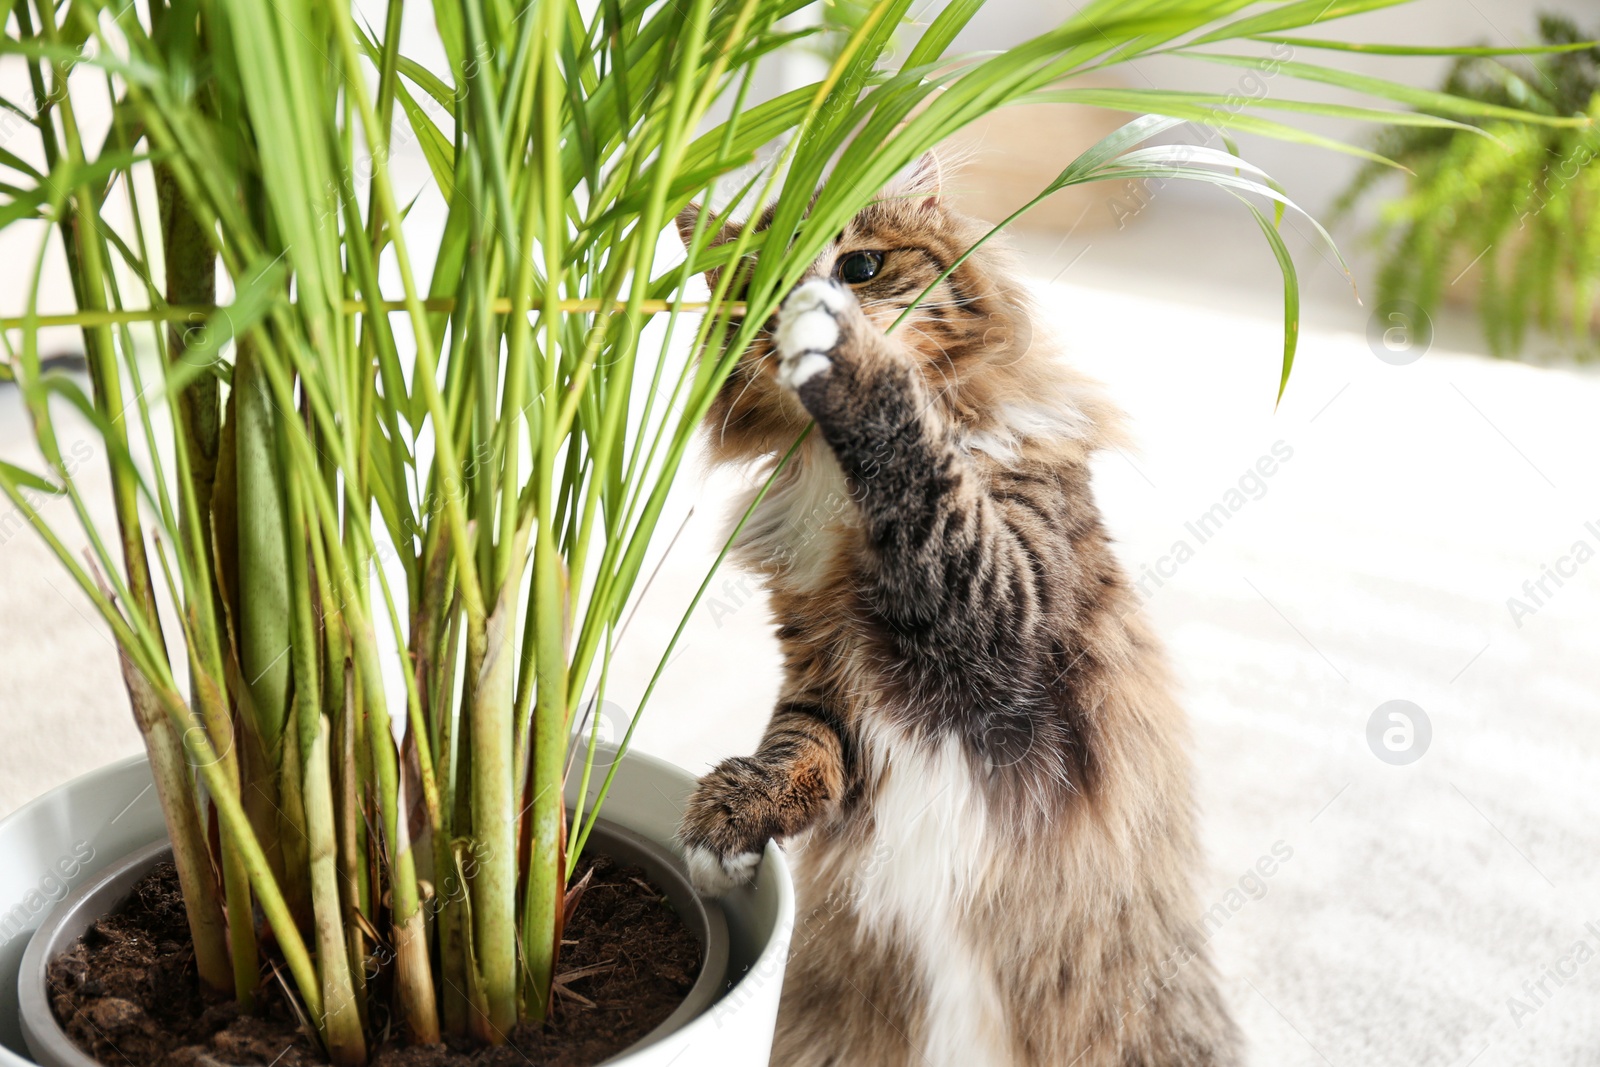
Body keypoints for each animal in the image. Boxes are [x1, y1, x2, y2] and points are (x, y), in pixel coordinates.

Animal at [675, 151, 1235, 1067]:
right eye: (757, 290)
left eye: (860, 266)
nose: (799, 305)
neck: (843, 486)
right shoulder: (823, 665)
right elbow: (796, 747)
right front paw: (729, 822)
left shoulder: (1004, 625)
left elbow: (918, 462)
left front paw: (845, 352)